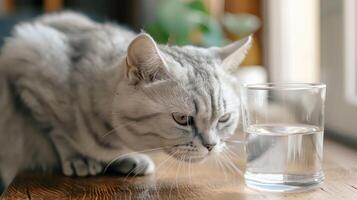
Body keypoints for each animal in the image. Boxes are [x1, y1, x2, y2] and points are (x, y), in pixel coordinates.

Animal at [0, 11, 250, 193]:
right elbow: (56, 131)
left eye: (224, 118)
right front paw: (79, 157)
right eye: (182, 119)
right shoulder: (27, 57)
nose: (211, 146)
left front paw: (124, 159)